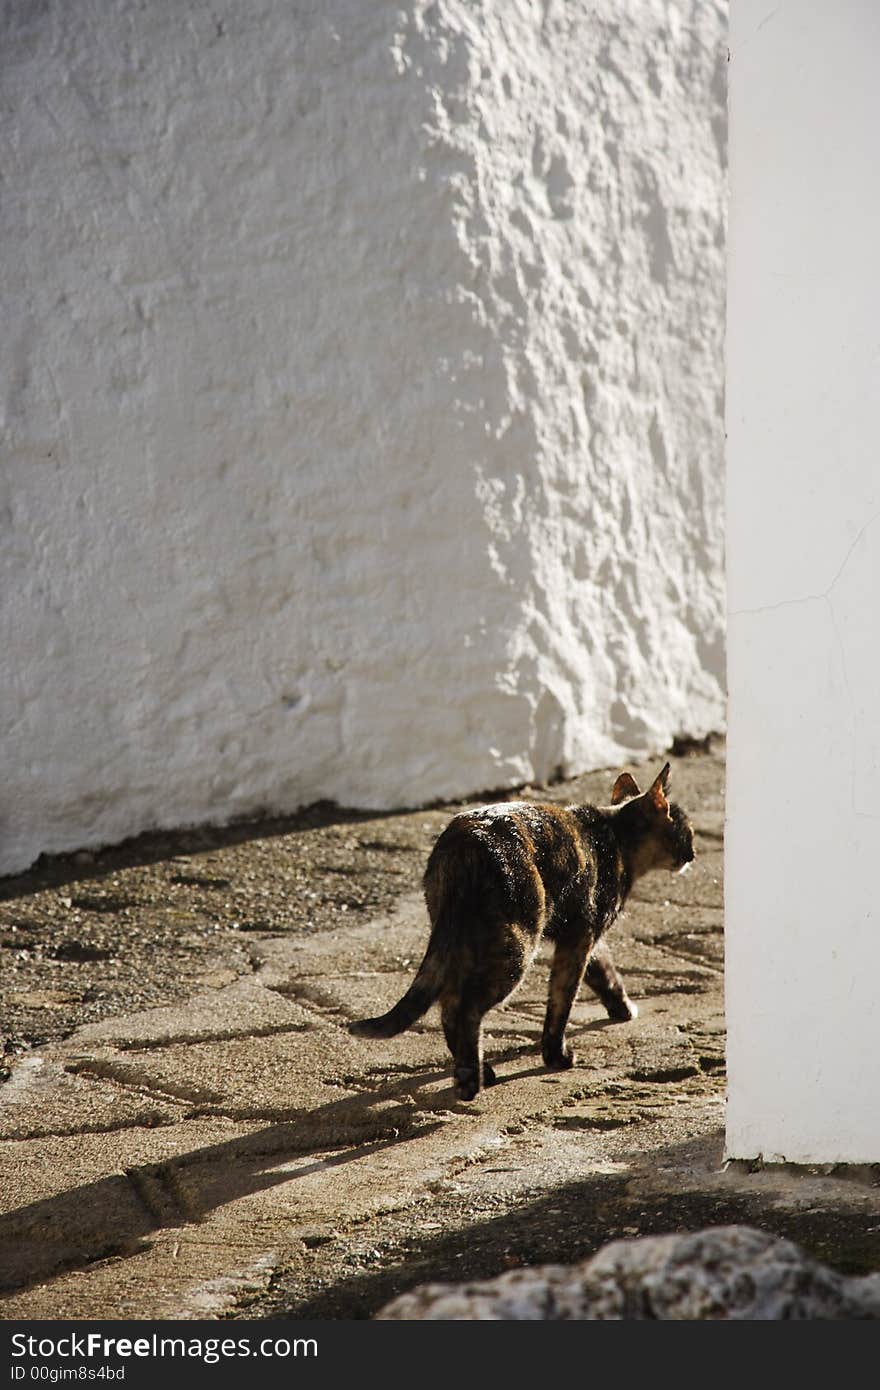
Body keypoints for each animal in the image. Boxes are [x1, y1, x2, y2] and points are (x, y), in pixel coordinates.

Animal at [348, 767, 692, 1100]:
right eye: (686, 832)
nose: (693, 854)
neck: (617, 840)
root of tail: (466, 842)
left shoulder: (586, 935)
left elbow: (605, 973)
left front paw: (622, 1009)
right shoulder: (580, 937)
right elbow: (562, 999)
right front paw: (556, 1055)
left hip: (462, 938)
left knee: (449, 1002)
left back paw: (477, 1069)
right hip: (515, 946)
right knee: (463, 1008)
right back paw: (470, 1083)